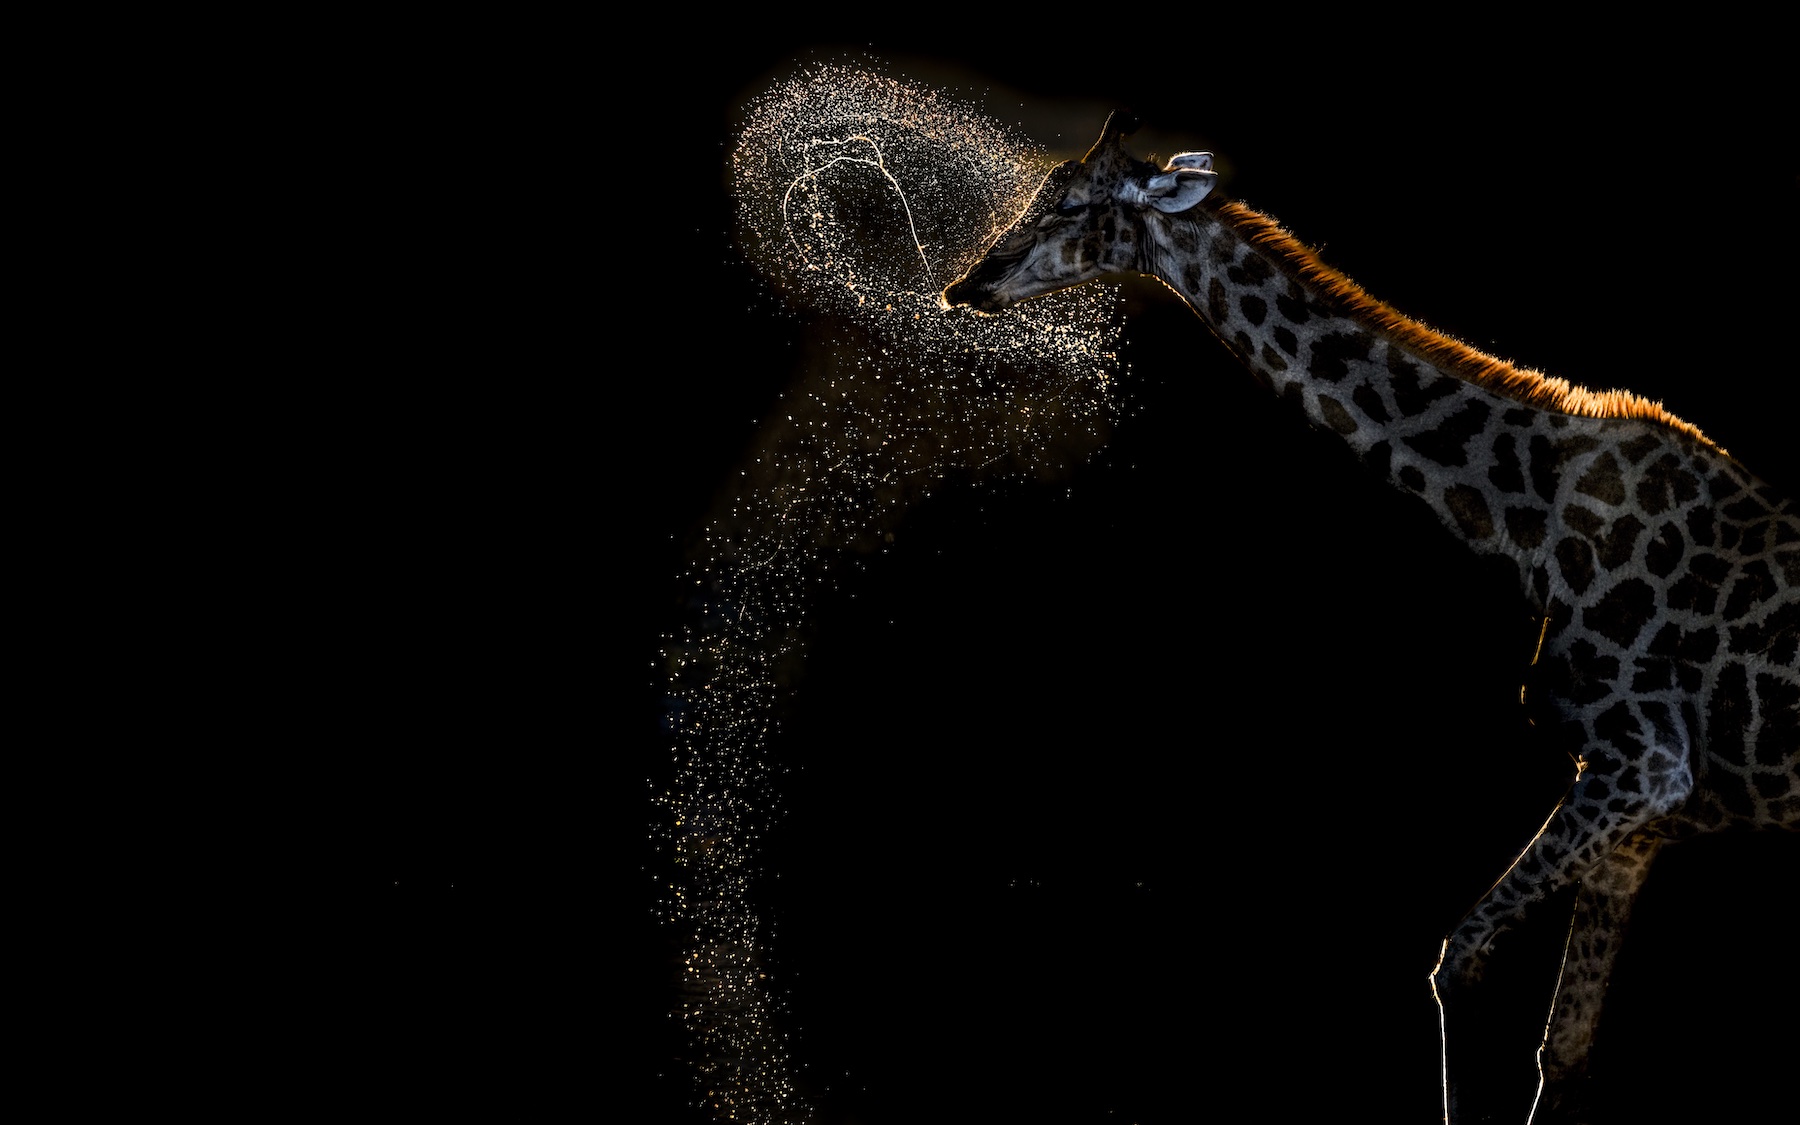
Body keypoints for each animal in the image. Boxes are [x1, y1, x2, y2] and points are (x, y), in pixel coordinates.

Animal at [940, 112, 1798, 1123]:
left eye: (1071, 205)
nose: (967, 284)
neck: (1527, 520)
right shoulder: (1645, 812)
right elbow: (1563, 1047)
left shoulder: (1643, 764)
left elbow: (1459, 960)